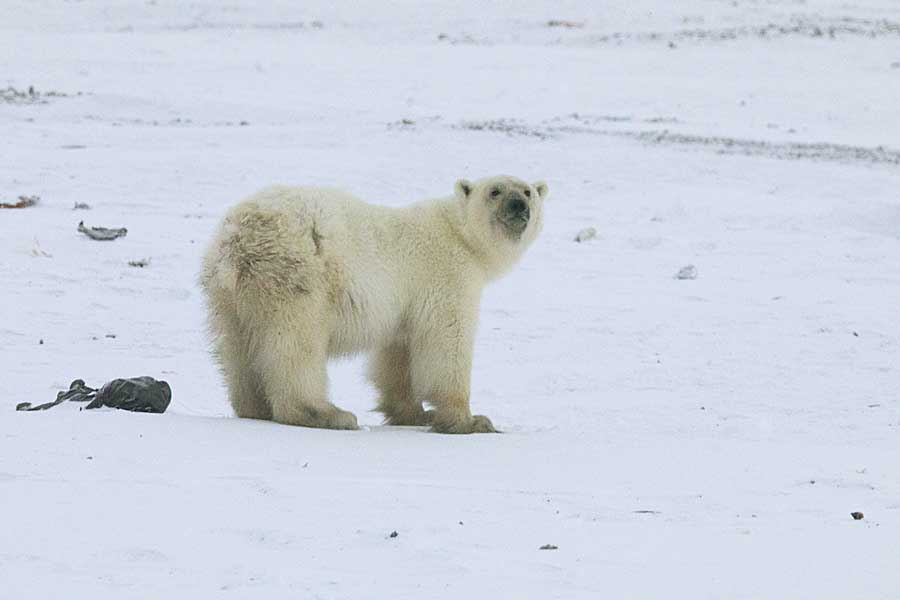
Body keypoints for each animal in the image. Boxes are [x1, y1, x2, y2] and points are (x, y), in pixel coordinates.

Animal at [200, 176, 544, 434]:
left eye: (528, 191)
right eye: (495, 191)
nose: (519, 205)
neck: (458, 234)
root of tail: (239, 238)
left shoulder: (406, 303)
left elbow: (397, 355)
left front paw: (414, 414)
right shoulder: (446, 277)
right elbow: (446, 341)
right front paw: (470, 421)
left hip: (228, 295)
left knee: (236, 346)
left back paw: (254, 407)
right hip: (295, 275)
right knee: (296, 344)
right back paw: (326, 414)